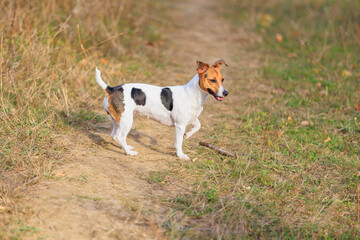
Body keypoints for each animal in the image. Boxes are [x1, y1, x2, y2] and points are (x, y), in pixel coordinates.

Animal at [95, 59, 229, 159]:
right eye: (212, 80)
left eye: (222, 79)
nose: (226, 93)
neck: (194, 94)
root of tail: (111, 89)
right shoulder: (180, 125)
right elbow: (178, 142)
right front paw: (180, 155)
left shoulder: (192, 119)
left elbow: (198, 126)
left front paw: (188, 135)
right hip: (127, 121)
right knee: (120, 137)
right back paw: (129, 152)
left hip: (118, 120)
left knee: (114, 135)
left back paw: (127, 147)